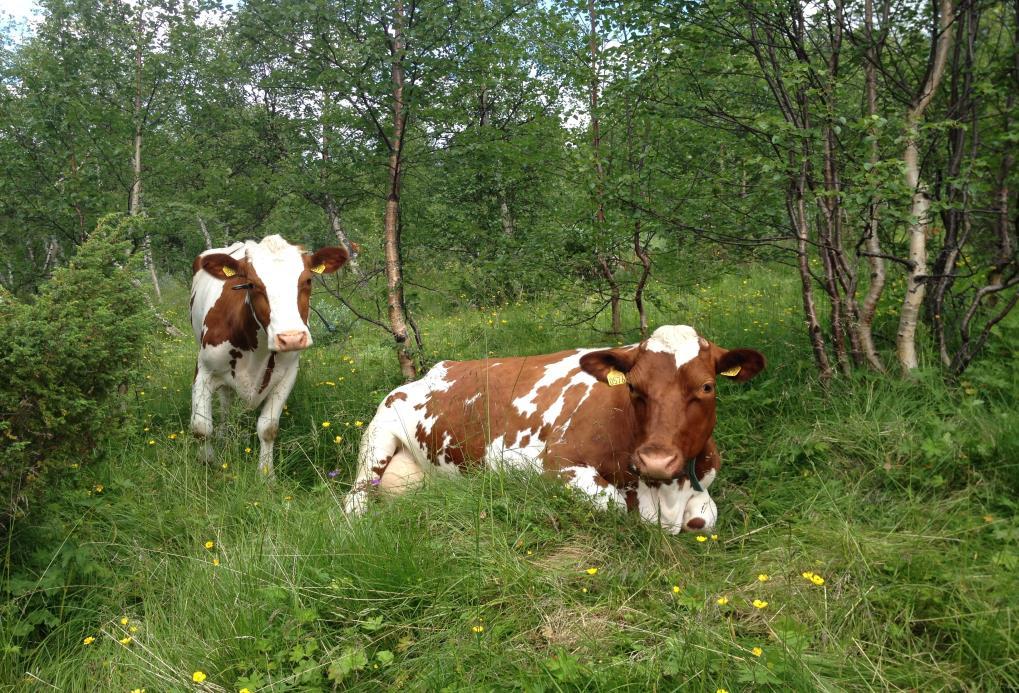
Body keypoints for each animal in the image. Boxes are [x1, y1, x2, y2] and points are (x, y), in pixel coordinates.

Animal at [189, 235, 348, 472]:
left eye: (308, 281)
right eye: (252, 284)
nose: (291, 337)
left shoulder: (287, 375)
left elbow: (268, 428)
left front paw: (266, 474)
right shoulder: (204, 370)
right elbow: (201, 427)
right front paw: (208, 467)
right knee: (225, 404)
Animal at [344, 324, 766, 529]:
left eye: (707, 386)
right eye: (633, 387)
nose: (656, 461)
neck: (664, 494)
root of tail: (430, 371)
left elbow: (705, 516)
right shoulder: (551, 462)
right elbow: (616, 505)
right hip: (376, 441)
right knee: (354, 500)